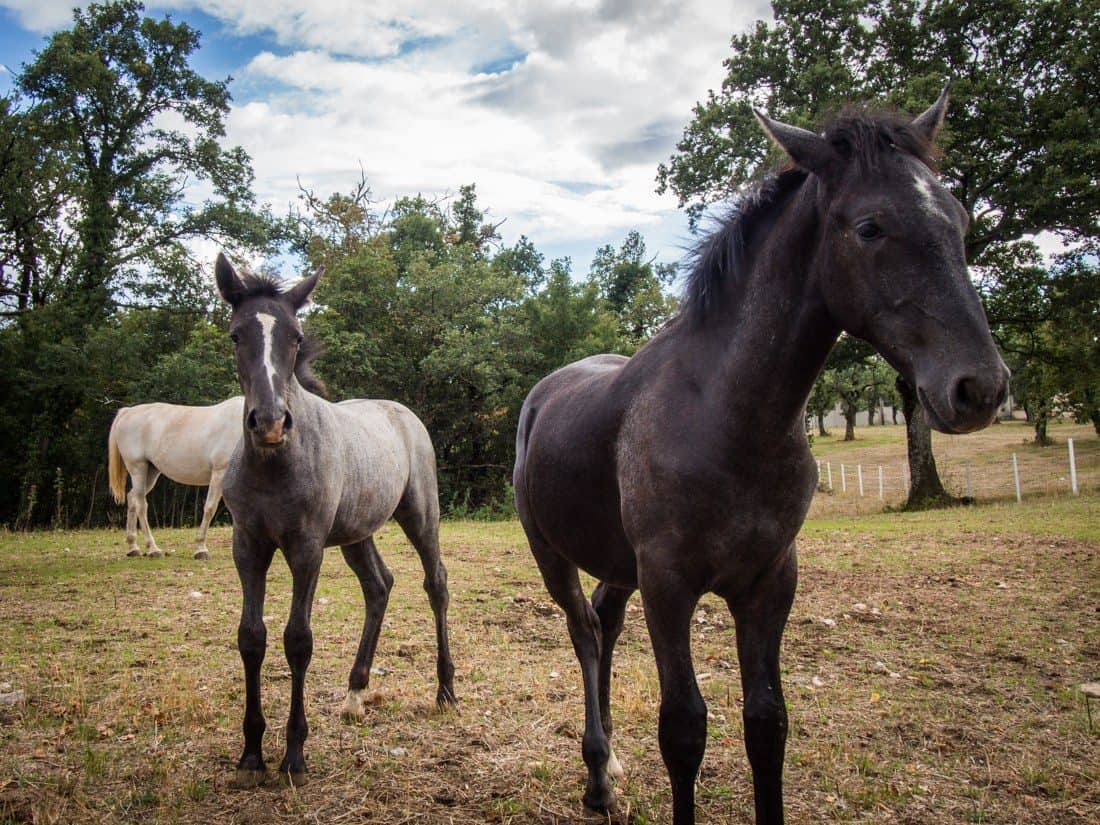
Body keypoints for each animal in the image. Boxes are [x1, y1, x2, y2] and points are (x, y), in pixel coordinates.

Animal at [106, 398, 243, 558]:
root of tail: (127, 412)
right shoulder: (219, 473)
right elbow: (210, 508)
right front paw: (201, 549)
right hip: (138, 468)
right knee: (141, 504)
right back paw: (153, 549)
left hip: (151, 472)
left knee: (132, 498)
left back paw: (133, 547)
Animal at [214, 255, 455, 792]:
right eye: (237, 334)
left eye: (296, 336)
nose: (270, 423)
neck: (275, 464)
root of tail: (404, 412)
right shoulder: (248, 546)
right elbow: (251, 637)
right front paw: (250, 754)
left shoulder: (306, 548)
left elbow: (297, 640)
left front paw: (294, 755)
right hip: (355, 534)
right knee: (379, 585)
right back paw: (355, 694)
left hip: (420, 514)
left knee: (436, 583)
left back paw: (446, 688)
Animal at [510, 87, 1007, 822]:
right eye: (870, 227)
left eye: (960, 218)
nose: (980, 387)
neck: (728, 418)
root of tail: (544, 395)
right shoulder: (669, 585)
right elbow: (683, 728)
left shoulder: (770, 582)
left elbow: (767, 722)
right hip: (554, 555)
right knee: (585, 634)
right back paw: (598, 774)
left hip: (621, 566)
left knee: (604, 622)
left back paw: (607, 769)